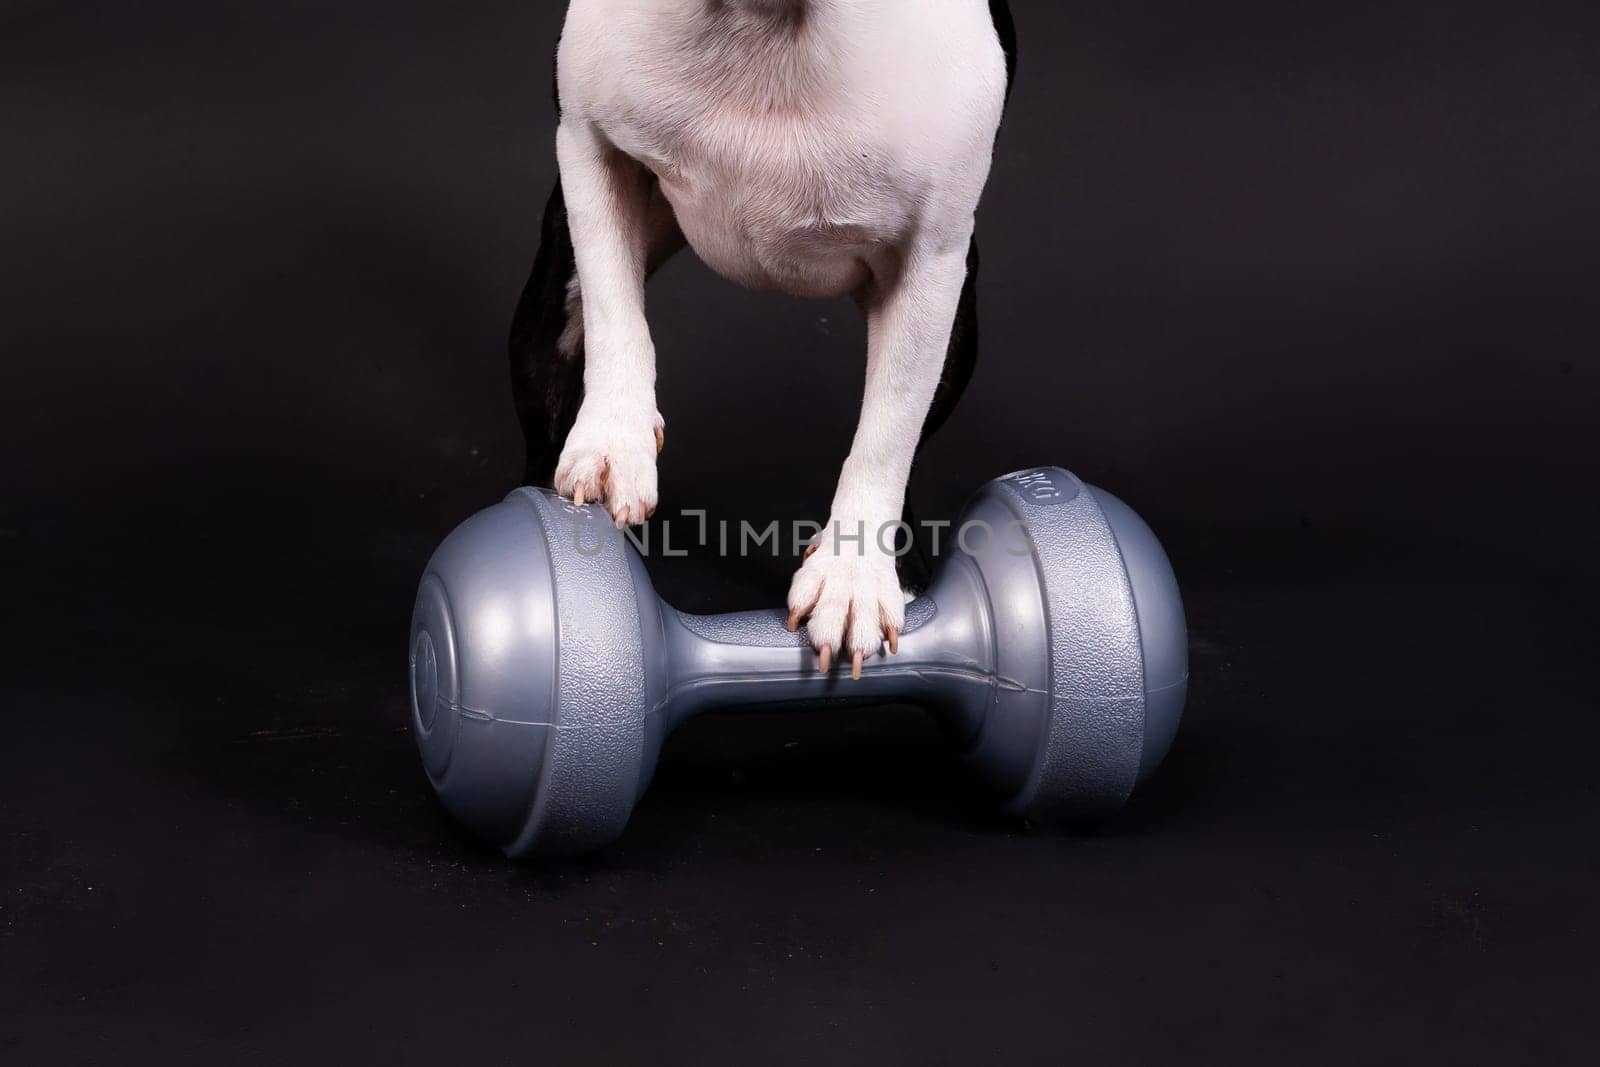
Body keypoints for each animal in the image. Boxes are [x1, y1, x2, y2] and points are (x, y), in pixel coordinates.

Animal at [508, 2, 1011, 675]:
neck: (770, 20)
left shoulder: (934, 259)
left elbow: (889, 431)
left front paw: (852, 574)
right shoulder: (590, 146)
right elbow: (616, 307)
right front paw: (616, 436)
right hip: (550, 311)